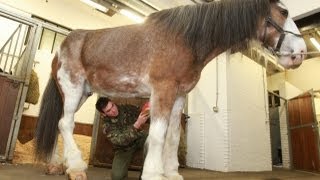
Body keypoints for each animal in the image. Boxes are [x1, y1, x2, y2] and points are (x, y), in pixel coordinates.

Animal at [34, 0, 304, 180]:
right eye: (283, 11)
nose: (300, 53)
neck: (184, 39)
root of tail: (60, 48)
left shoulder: (179, 96)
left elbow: (172, 137)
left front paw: (172, 172)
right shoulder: (162, 91)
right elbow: (157, 134)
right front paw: (153, 173)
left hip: (80, 94)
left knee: (59, 124)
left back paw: (56, 165)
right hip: (72, 89)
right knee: (66, 124)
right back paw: (76, 168)